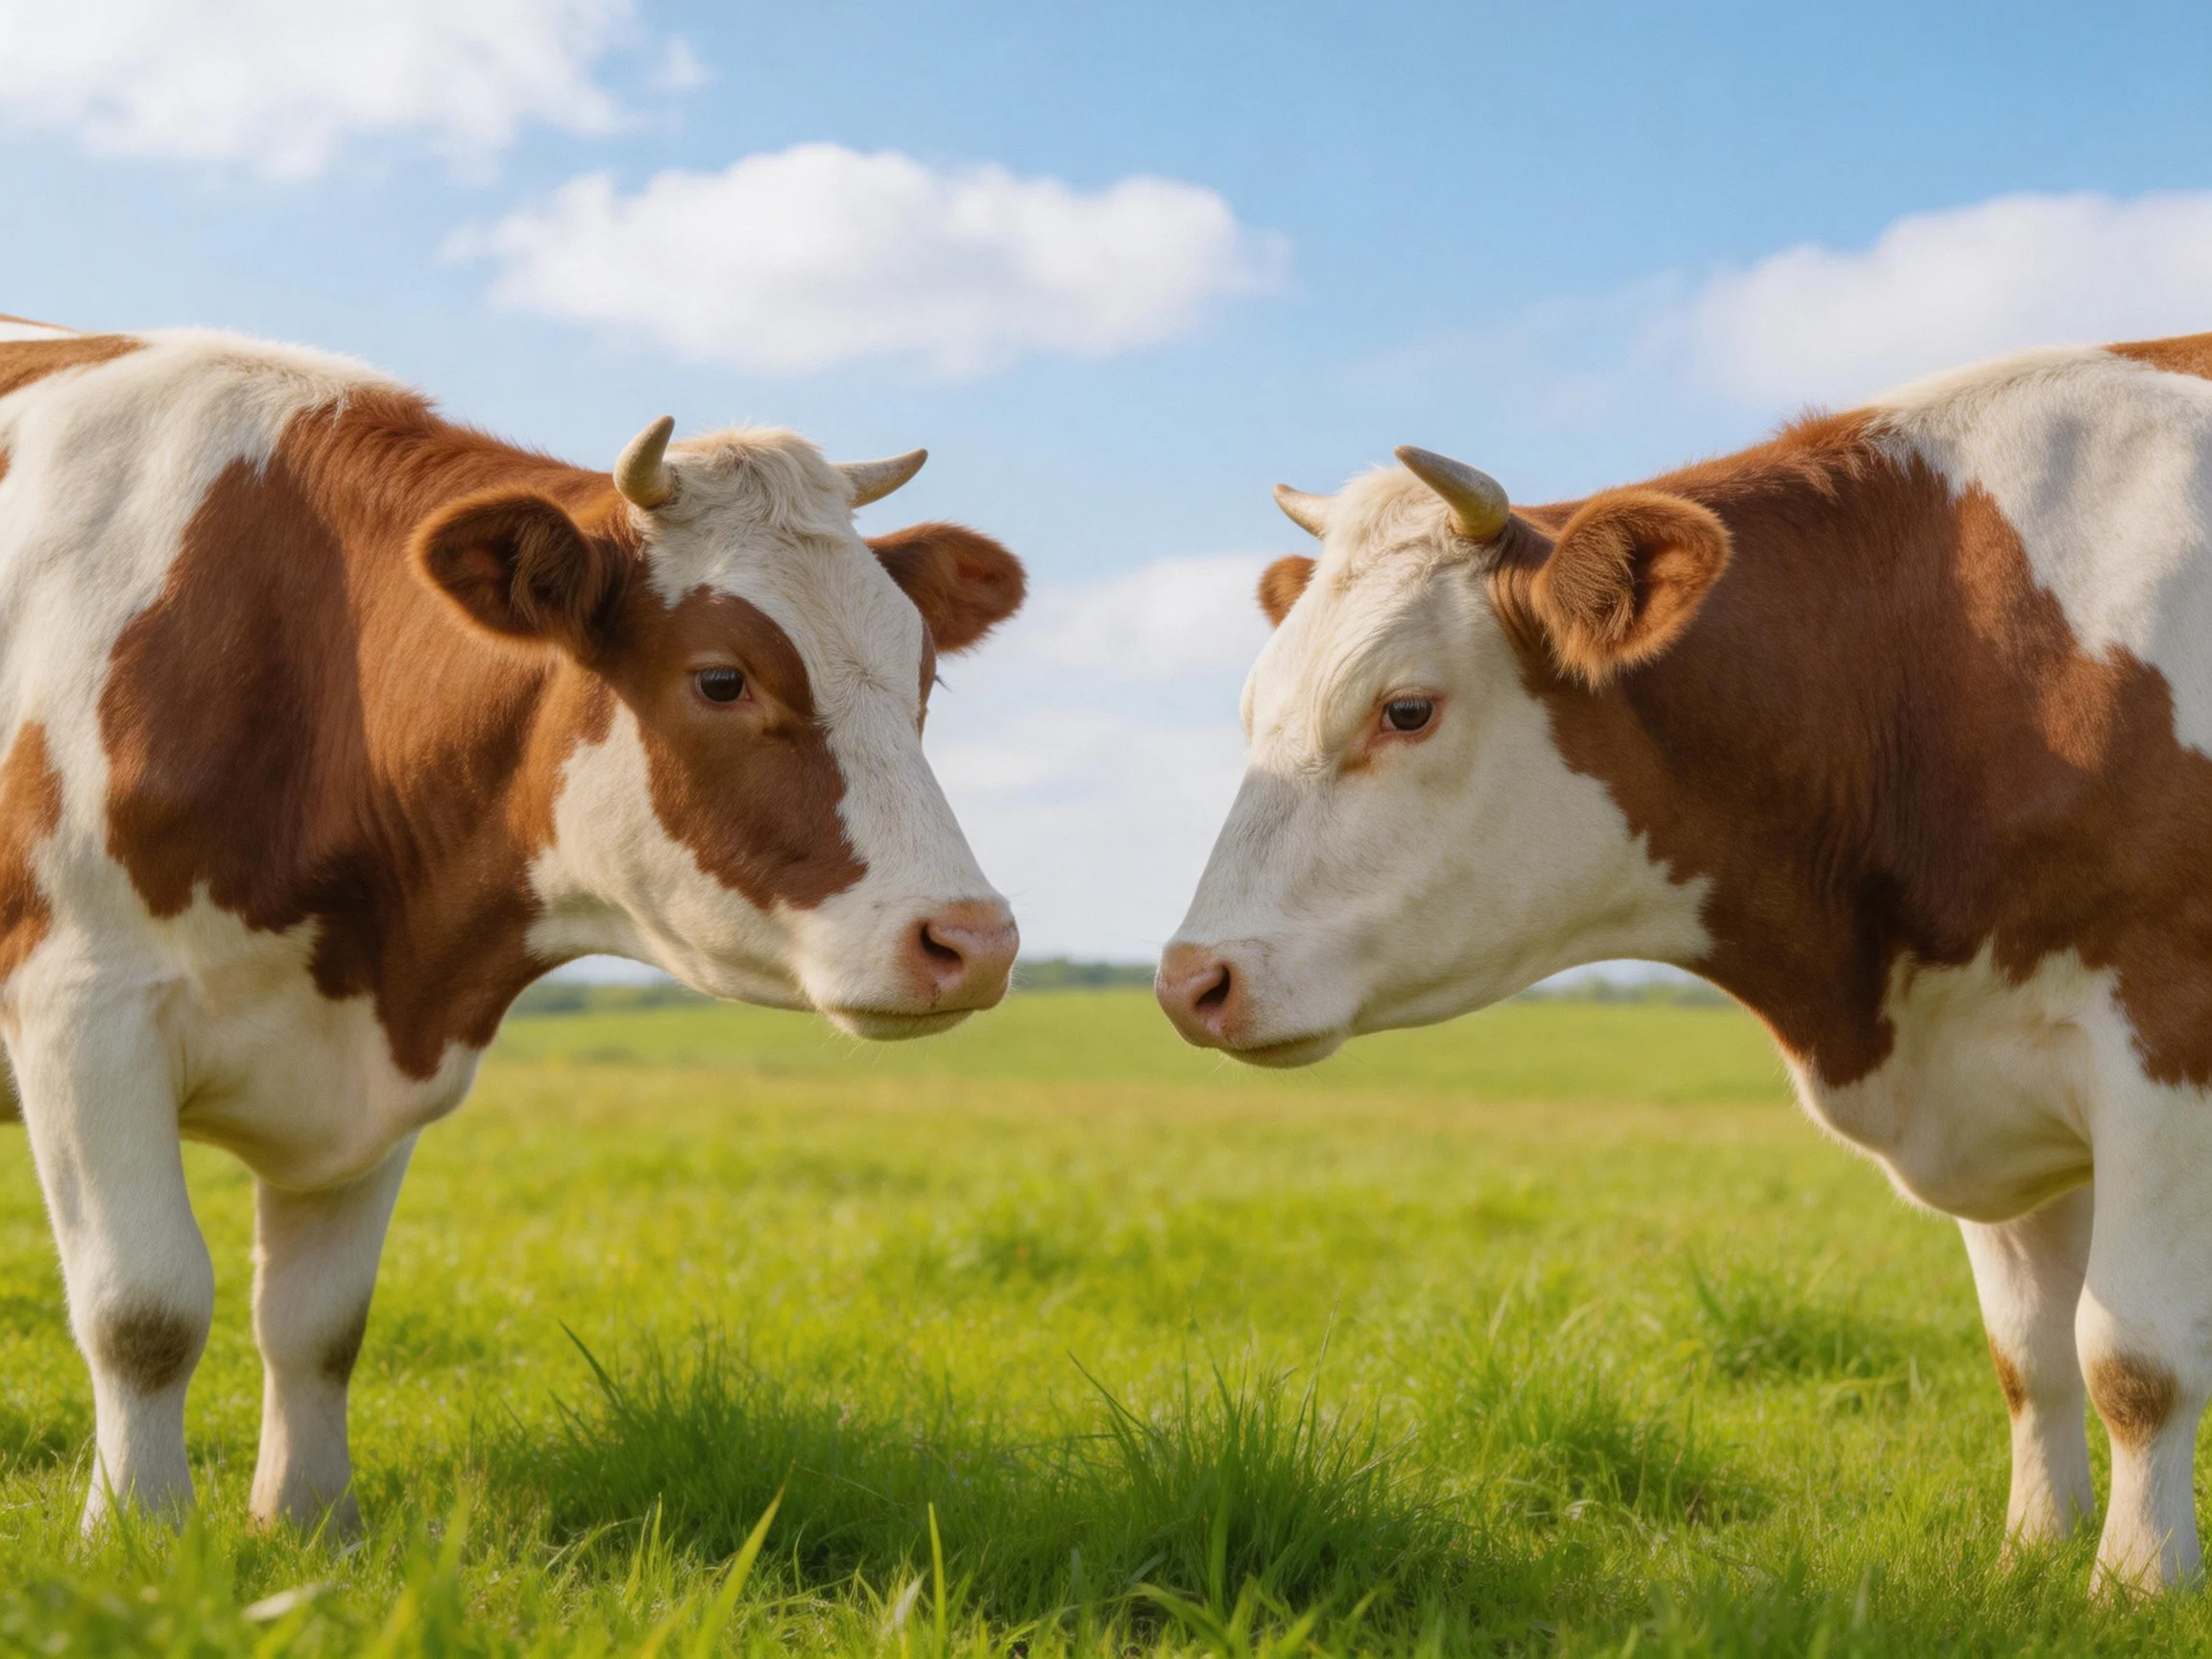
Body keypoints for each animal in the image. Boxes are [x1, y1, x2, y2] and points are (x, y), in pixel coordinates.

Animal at [0, 316, 1025, 1535]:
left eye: (922, 679)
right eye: (721, 679)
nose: (972, 939)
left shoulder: (376, 1039)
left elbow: (319, 1322)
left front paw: (312, 1528)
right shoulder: (82, 1011)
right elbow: (144, 1310)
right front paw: (144, 1538)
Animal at [1158, 332, 2212, 1593]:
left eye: (1405, 710)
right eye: (1253, 710)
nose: (1191, 981)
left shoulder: (2160, 1037)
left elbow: (2135, 1358)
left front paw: (2138, 1587)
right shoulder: (1988, 1062)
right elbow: (2031, 1355)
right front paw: (2028, 1558)